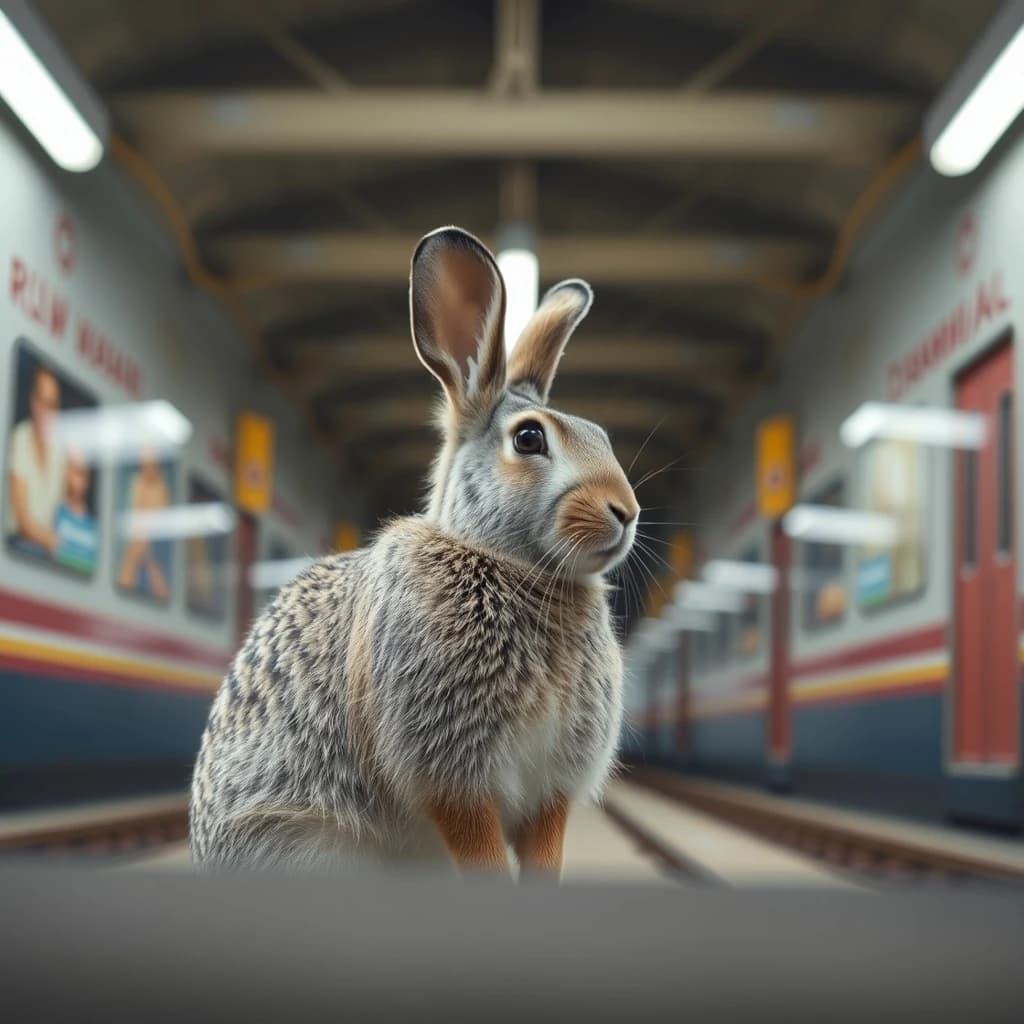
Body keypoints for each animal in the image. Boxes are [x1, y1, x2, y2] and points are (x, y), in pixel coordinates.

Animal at [189, 226, 639, 877]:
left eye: (602, 437)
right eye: (529, 438)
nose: (626, 511)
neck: (512, 566)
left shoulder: (549, 790)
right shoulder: (452, 774)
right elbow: (480, 855)